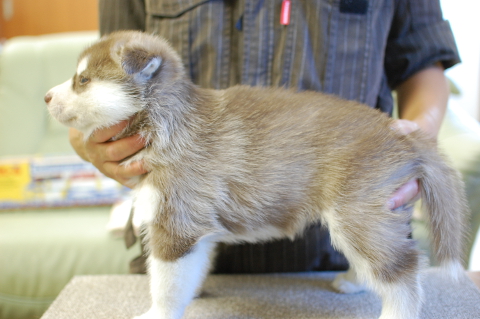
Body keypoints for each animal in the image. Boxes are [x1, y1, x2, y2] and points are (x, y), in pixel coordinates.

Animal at [44, 30, 464, 319]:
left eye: (82, 80)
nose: (45, 96)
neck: (167, 119)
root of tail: (400, 133)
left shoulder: (176, 223)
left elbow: (164, 282)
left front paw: (158, 313)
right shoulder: (196, 227)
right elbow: (190, 271)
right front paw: (190, 295)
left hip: (356, 211)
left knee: (403, 270)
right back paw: (351, 280)